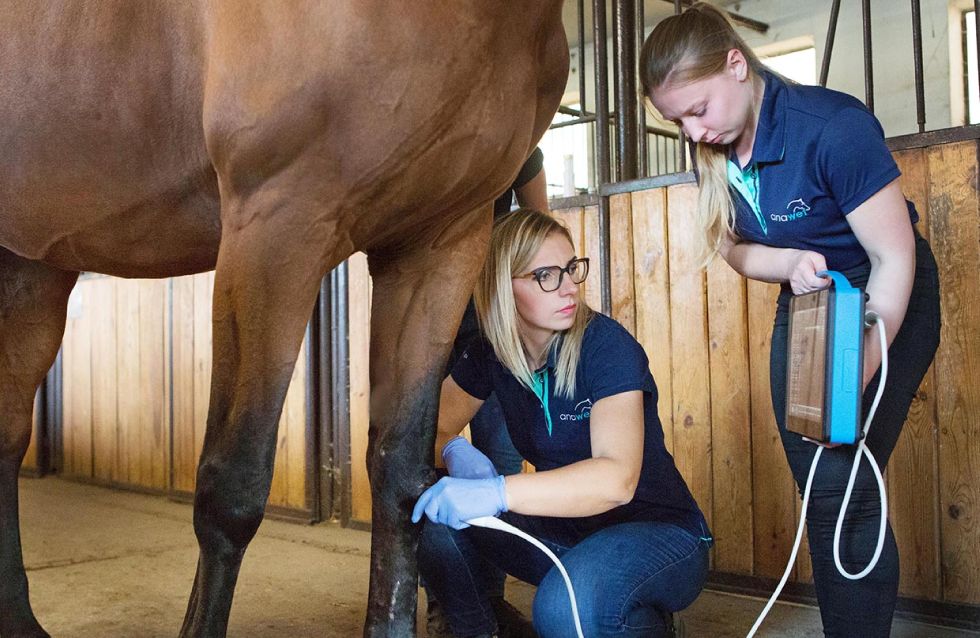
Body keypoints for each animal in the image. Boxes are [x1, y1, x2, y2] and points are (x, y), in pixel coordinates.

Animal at [0, 2, 568, 636]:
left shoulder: (440, 243)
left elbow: (401, 478)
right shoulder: (278, 227)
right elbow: (231, 489)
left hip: (32, 272)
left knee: (5, 439)